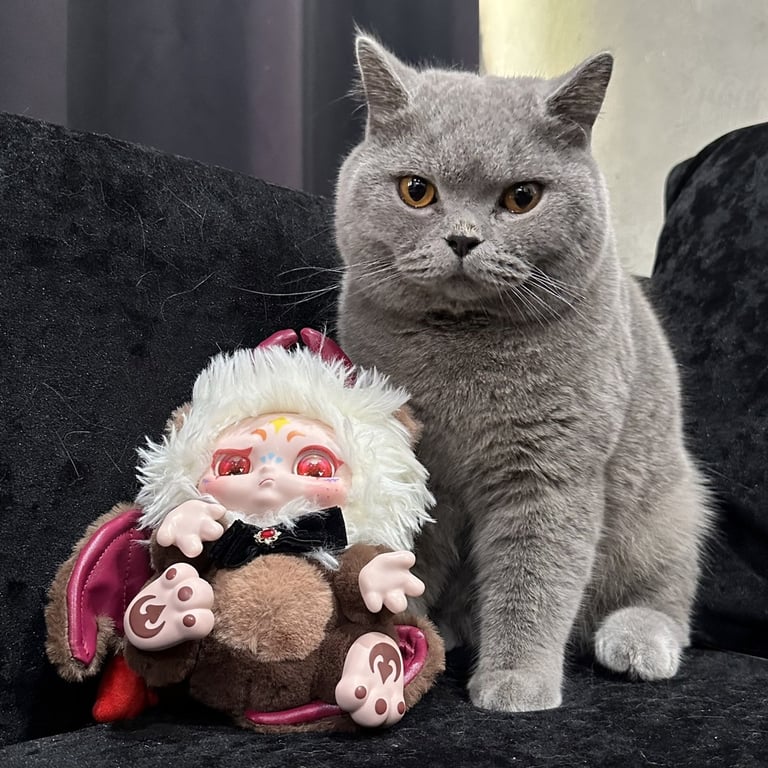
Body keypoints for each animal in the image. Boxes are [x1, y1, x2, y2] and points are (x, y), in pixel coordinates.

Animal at [333, 35, 712, 713]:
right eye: (417, 191)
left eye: (522, 198)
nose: (462, 238)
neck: (462, 348)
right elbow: (410, 553)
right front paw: (396, 634)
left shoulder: (549, 472)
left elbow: (533, 576)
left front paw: (516, 682)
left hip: (672, 505)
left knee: (664, 599)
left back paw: (637, 643)